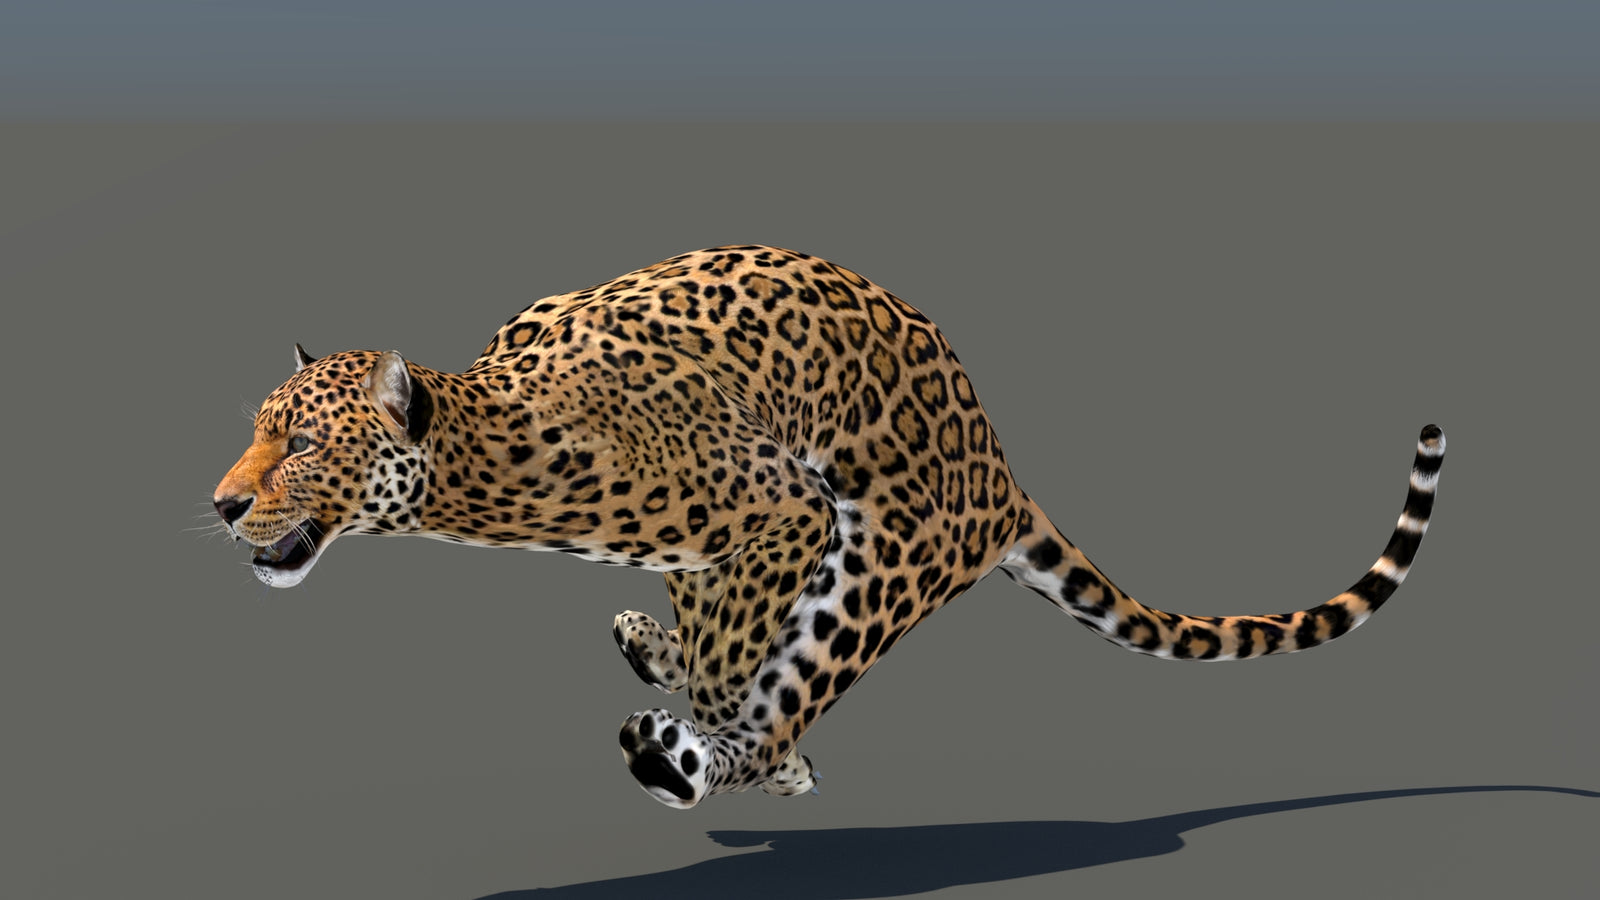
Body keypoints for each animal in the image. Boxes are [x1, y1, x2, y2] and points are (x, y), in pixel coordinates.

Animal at [213, 245, 1446, 809]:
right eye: (255, 432)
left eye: (303, 445)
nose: (224, 504)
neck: (489, 465)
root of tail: (997, 459)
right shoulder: (702, 545)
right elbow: (713, 624)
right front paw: (683, 662)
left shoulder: (776, 508)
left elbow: (738, 661)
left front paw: (737, 732)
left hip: (888, 551)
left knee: (792, 663)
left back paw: (697, 752)